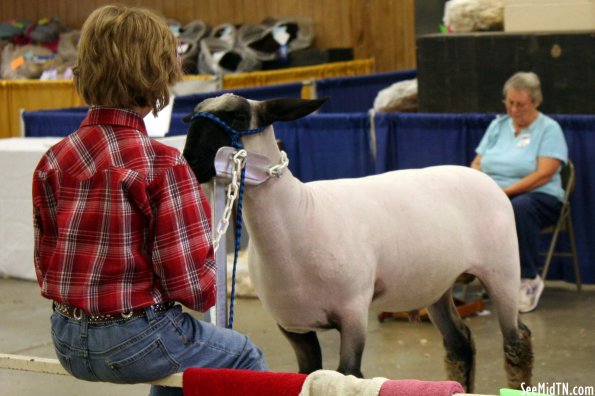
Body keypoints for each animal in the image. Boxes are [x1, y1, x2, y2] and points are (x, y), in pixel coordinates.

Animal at [182, 93, 536, 392]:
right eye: (191, 118)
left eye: (238, 116)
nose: (190, 162)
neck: (300, 215)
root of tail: (483, 177)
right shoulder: (293, 325)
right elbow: (305, 374)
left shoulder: (352, 312)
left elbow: (348, 374)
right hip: (437, 284)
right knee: (460, 344)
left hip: (502, 271)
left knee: (517, 342)